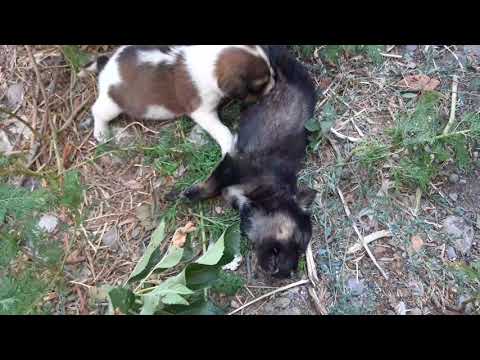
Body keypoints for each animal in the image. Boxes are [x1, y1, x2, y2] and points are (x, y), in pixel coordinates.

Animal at [79, 45, 274, 156]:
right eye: (260, 84)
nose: (275, 84)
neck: (211, 62)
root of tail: (107, 64)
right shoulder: (202, 111)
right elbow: (222, 130)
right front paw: (228, 146)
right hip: (112, 103)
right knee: (97, 111)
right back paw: (101, 132)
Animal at [174, 45, 316, 278]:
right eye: (295, 242)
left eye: (302, 250)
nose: (287, 274)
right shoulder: (232, 164)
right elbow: (210, 186)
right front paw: (185, 194)